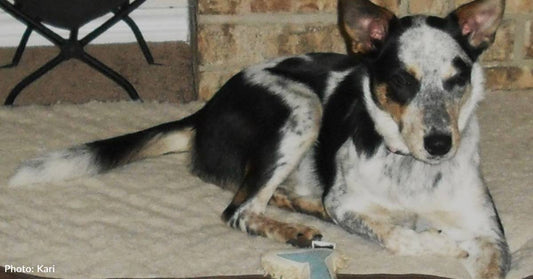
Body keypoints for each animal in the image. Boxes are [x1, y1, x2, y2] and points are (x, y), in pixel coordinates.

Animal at [9, 1, 508, 278]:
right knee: (240, 209)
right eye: (403, 81)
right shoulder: (351, 204)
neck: (412, 169)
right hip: (302, 110)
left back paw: (304, 215)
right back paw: (295, 230)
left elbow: (485, 257)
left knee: (263, 198)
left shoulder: (489, 231)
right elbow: (398, 234)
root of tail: (207, 107)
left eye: (457, 79)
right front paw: (442, 244)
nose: (440, 143)